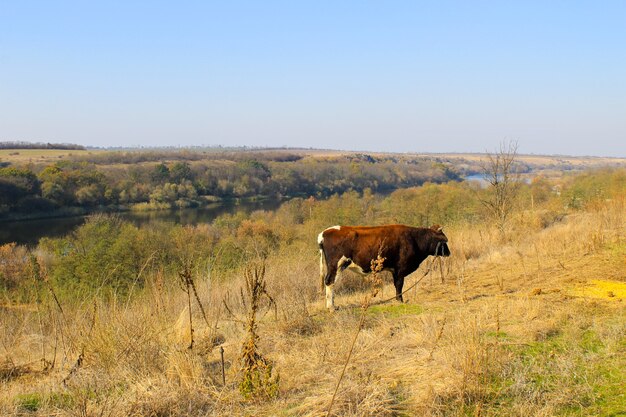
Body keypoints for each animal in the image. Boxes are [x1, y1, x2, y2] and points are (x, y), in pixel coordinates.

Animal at [316, 224, 448, 308]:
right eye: (445, 241)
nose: (448, 252)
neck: (414, 238)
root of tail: (325, 232)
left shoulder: (394, 270)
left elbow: (396, 284)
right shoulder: (400, 269)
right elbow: (399, 285)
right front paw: (400, 300)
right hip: (336, 265)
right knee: (330, 281)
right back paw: (331, 307)